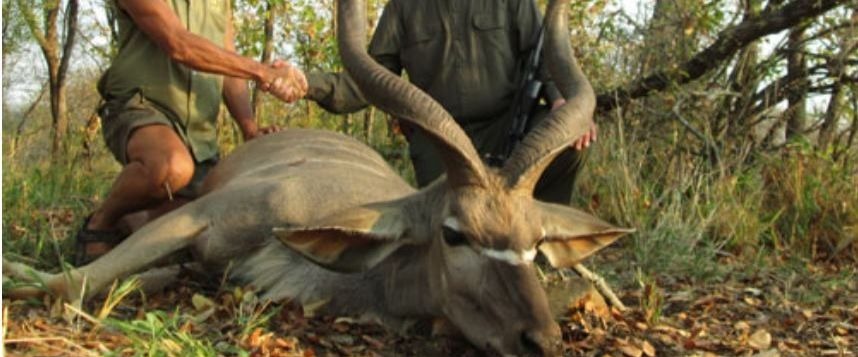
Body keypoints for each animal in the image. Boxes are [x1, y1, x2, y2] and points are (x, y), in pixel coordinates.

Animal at [3, 0, 632, 354]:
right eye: (454, 233)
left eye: (537, 243)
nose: (540, 340)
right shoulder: (203, 215)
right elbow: (71, 282)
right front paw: (21, 274)